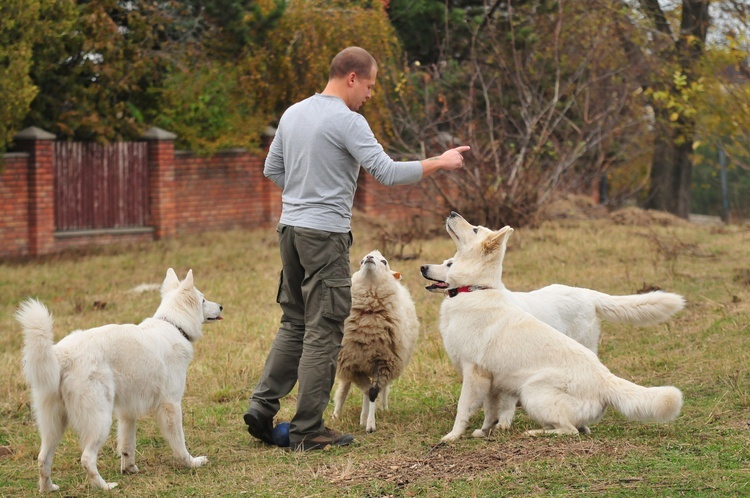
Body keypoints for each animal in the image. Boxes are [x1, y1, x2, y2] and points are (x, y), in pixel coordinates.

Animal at [16, 268, 222, 490]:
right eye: (203, 299)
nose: (221, 306)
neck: (174, 325)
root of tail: (63, 354)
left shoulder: (126, 412)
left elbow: (127, 444)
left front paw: (129, 468)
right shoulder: (171, 405)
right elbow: (179, 442)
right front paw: (192, 463)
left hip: (53, 425)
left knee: (42, 458)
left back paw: (48, 488)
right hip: (100, 420)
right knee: (86, 458)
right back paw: (105, 486)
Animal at [334, 251, 424, 434]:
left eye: (384, 261)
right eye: (361, 261)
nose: (369, 258)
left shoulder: (383, 364)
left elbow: (373, 392)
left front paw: (370, 425)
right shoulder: (352, 365)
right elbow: (365, 390)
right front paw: (363, 419)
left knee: (381, 390)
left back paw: (381, 408)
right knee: (346, 388)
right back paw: (337, 415)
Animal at [438, 212, 684, 442]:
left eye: (475, 229)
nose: (452, 213)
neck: (474, 288)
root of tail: (605, 380)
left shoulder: (474, 373)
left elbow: (463, 409)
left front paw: (452, 436)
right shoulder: (491, 380)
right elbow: (490, 411)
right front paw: (484, 431)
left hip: (532, 390)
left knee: (570, 430)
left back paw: (534, 433)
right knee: (580, 428)